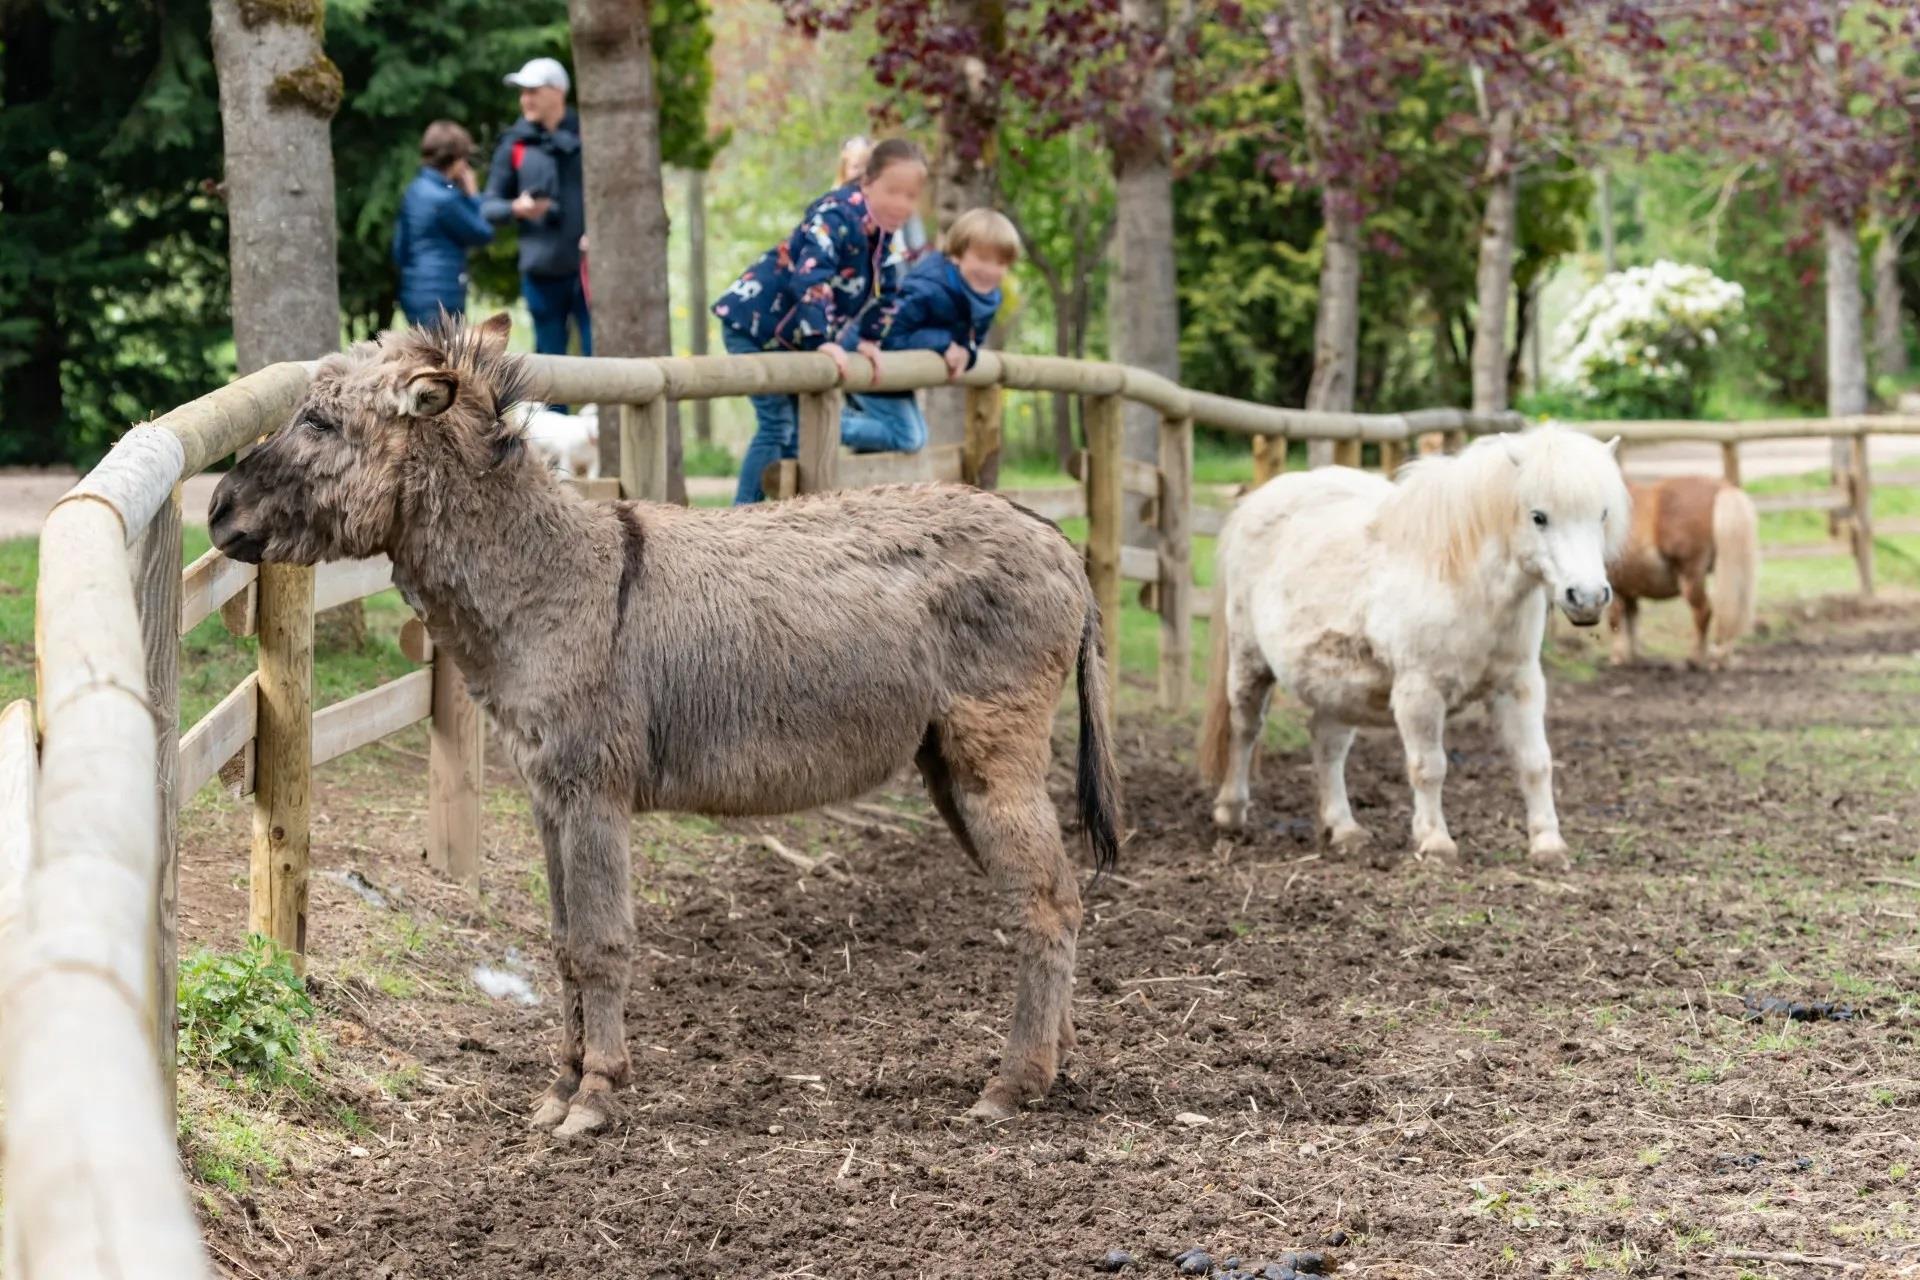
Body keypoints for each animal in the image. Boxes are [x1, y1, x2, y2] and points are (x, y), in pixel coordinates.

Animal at [1198, 426, 1635, 867]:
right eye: (1539, 516)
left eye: (1602, 514)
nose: (1588, 597)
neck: (1466, 583)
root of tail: (1254, 504)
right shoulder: (1420, 692)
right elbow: (1429, 767)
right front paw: (1435, 842)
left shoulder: (1519, 685)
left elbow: (1535, 762)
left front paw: (1548, 845)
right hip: (1249, 662)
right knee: (1246, 727)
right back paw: (1230, 812)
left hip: (1338, 686)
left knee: (1327, 743)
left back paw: (1344, 829)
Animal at [1605, 474, 1758, 671]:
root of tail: (1722, 488)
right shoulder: (1629, 590)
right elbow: (1632, 621)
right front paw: (1634, 657)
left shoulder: (1613, 587)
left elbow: (1615, 620)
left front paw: (1617, 658)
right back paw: (1721, 658)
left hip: (1691, 576)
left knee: (1703, 611)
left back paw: (1696, 659)